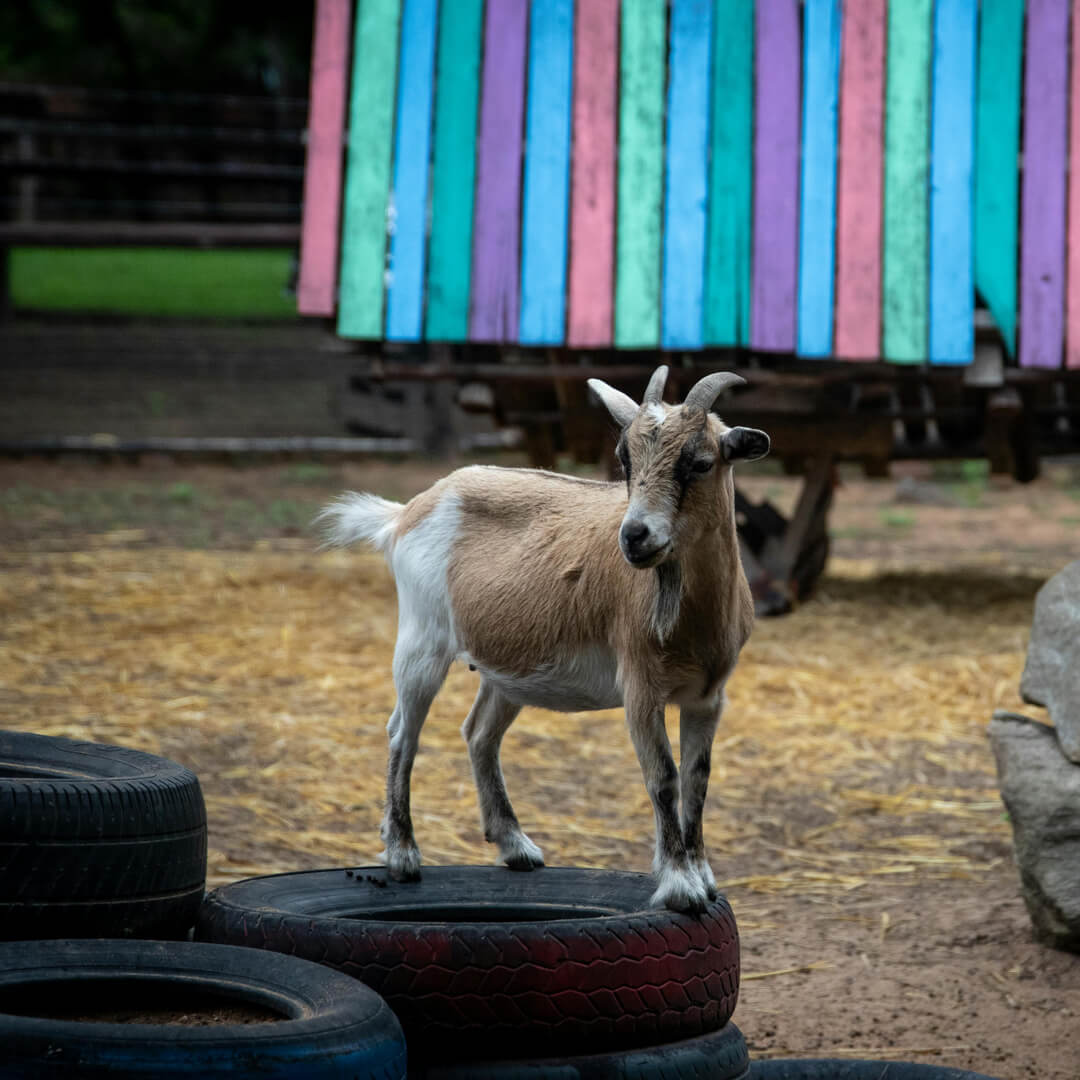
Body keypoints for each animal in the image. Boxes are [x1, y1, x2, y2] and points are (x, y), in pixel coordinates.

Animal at [317, 369, 768, 911]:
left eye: (700, 462)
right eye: (625, 459)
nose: (635, 536)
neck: (694, 617)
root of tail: (404, 514)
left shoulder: (708, 696)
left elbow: (698, 780)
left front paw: (703, 877)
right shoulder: (641, 687)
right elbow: (663, 778)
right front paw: (681, 886)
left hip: (507, 669)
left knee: (479, 733)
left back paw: (516, 846)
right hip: (422, 640)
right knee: (402, 731)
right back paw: (403, 853)